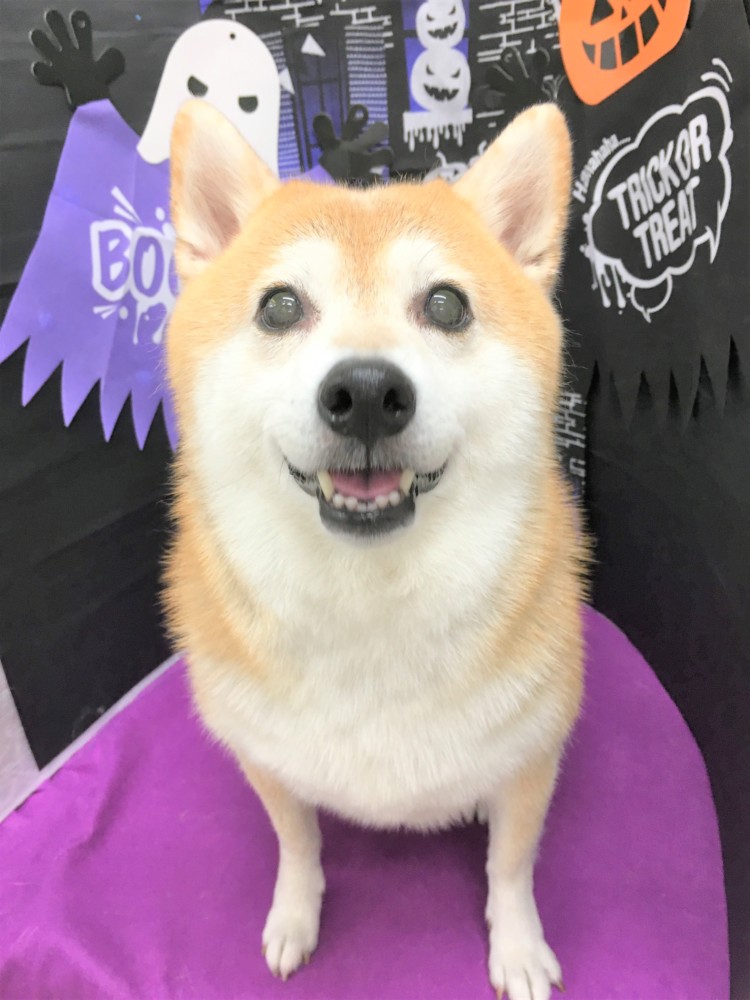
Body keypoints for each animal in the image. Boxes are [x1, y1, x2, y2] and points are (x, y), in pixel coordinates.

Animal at [164, 98, 585, 1000]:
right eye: (280, 307)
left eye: (448, 305)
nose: (363, 393)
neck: (368, 609)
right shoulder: (266, 759)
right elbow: (297, 843)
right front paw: (295, 915)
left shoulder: (531, 759)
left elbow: (511, 866)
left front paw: (518, 949)